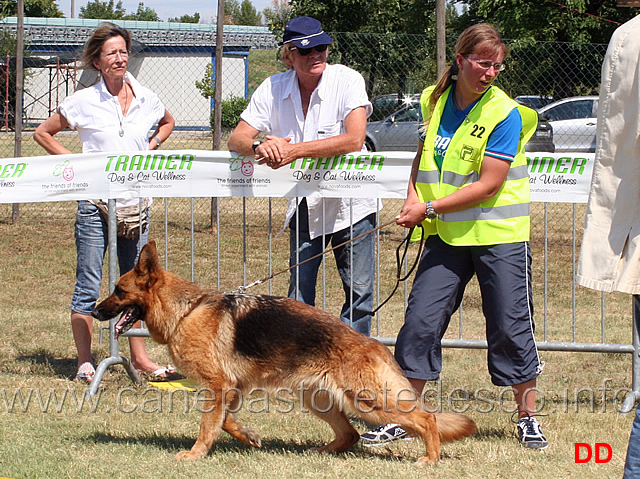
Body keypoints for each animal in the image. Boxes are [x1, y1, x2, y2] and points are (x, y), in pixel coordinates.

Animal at [94, 244, 476, 464]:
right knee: (350, 435)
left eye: (119, 290)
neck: (186, 311)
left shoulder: (217, 386)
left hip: (368, 401)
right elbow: (226, 421)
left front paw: (195, 455)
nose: (95, 310)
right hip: (317, 398)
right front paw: (248, 436)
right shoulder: (232, 388)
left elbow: (207, 425)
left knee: (426, 419)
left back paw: (430, 459)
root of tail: (374, 344)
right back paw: (321, 454)